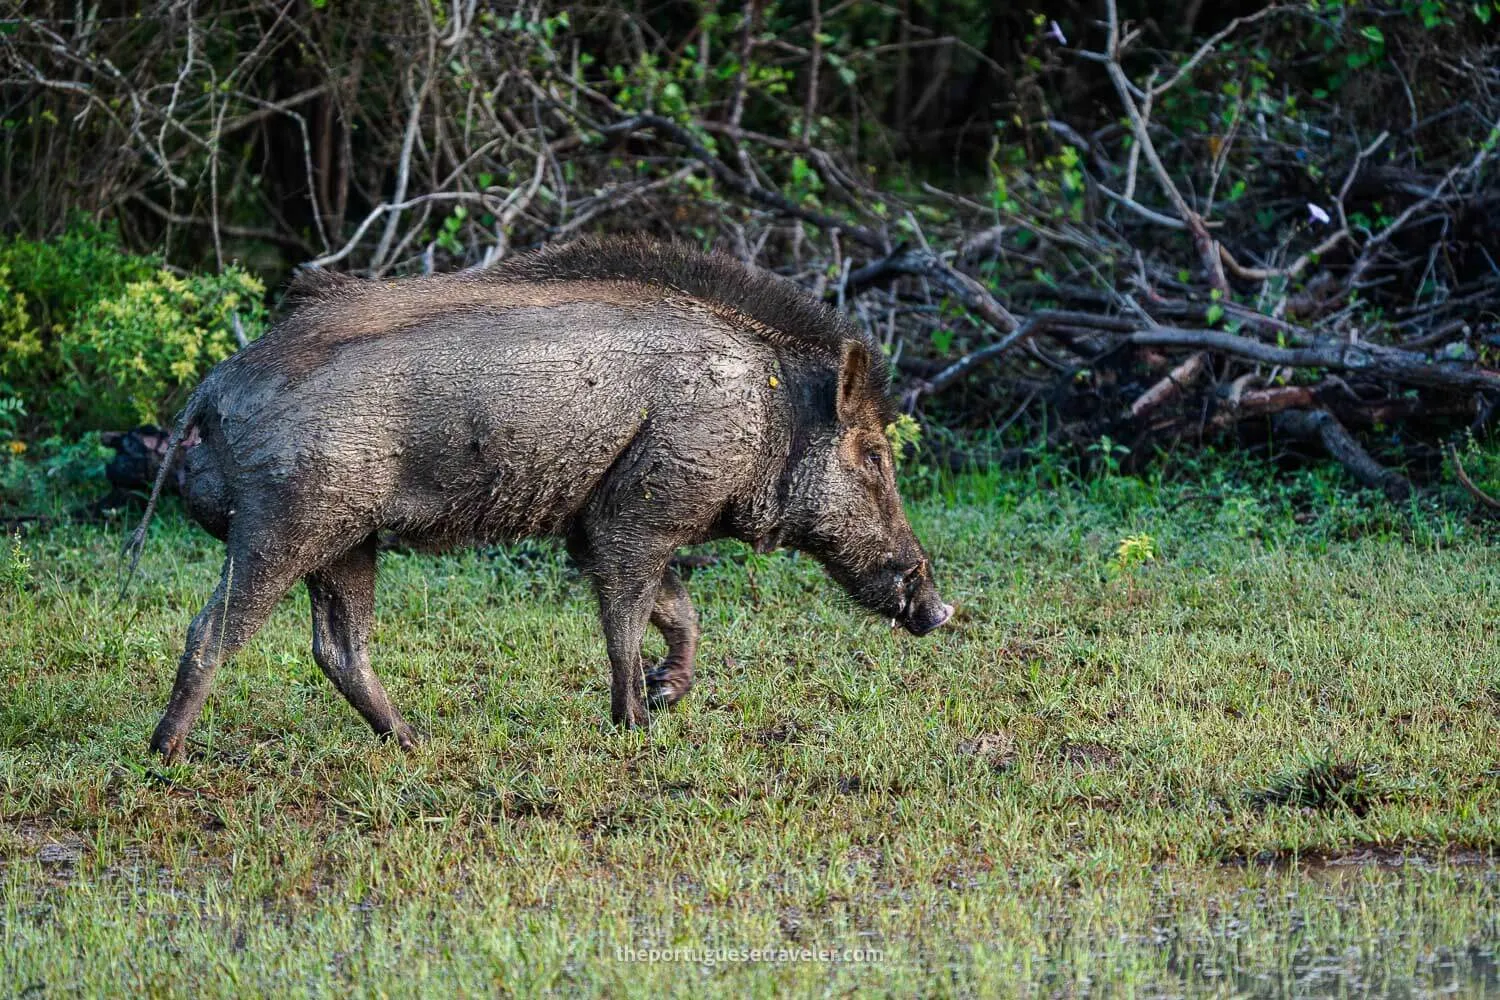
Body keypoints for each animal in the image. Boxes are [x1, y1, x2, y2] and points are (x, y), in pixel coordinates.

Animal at [125, 238, 952, 759]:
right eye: (875, 455)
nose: (940, 609)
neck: (769, 411)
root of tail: (212, 388)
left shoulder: (607, 523)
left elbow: (680, 609)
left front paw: (668, 695)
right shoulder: (639, 513)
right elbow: (627, 619)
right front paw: (636, 723)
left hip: (347, 542)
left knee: (338, 648)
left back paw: (418, 745)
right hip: (286, 523)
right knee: (213, 630)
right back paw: (167, 756)